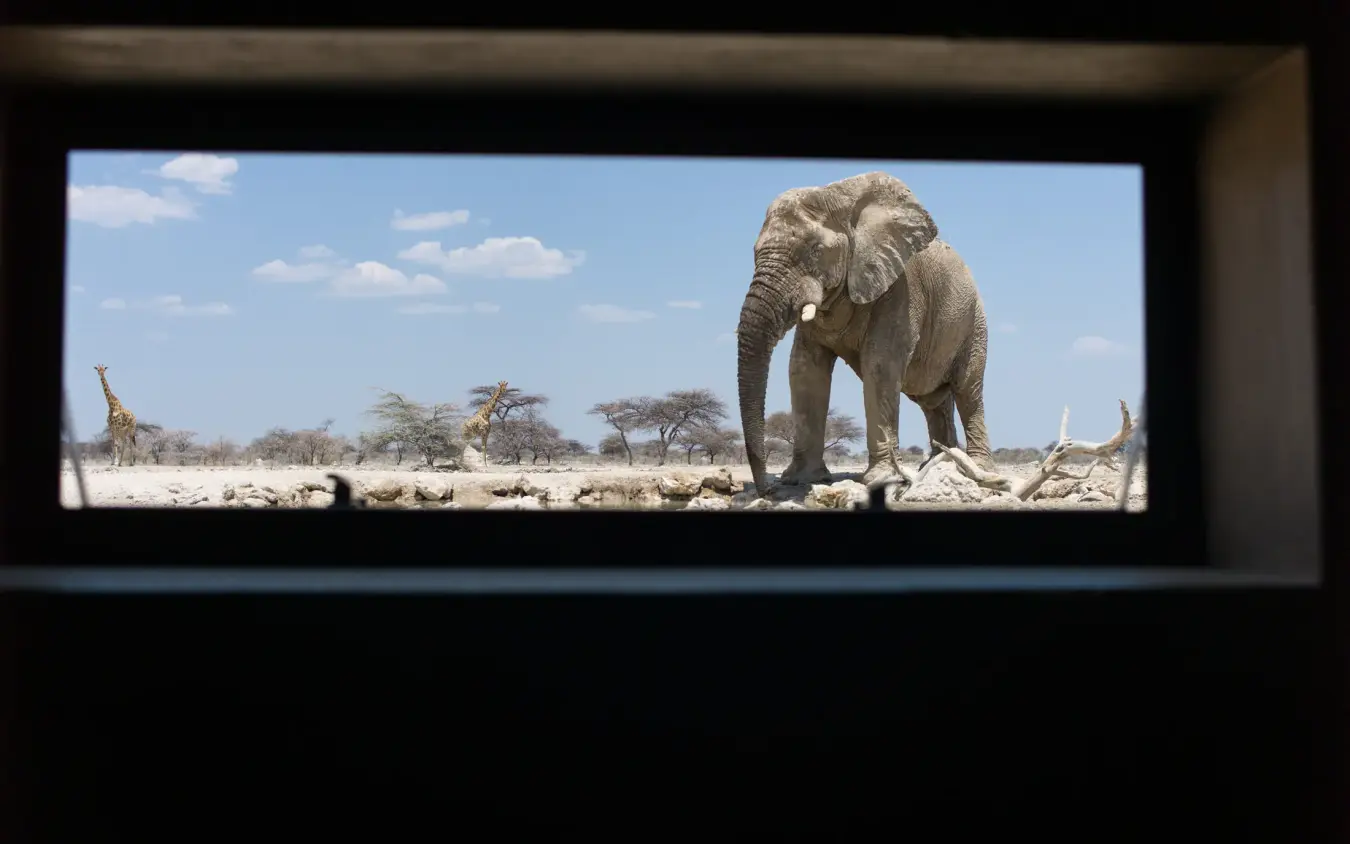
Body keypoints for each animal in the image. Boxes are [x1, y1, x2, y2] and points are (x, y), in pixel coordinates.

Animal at [735, 170, 994, 497]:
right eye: (754, 253)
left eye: (815, 251)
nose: (767, 490)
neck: (839, 198)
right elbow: (805, 370)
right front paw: (802, 480)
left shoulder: (900, 289)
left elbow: (879, 367)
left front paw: (881, 479)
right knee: (933, 402)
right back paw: (937, 465)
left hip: (975, 324)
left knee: (968, 391)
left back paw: (977, 468)